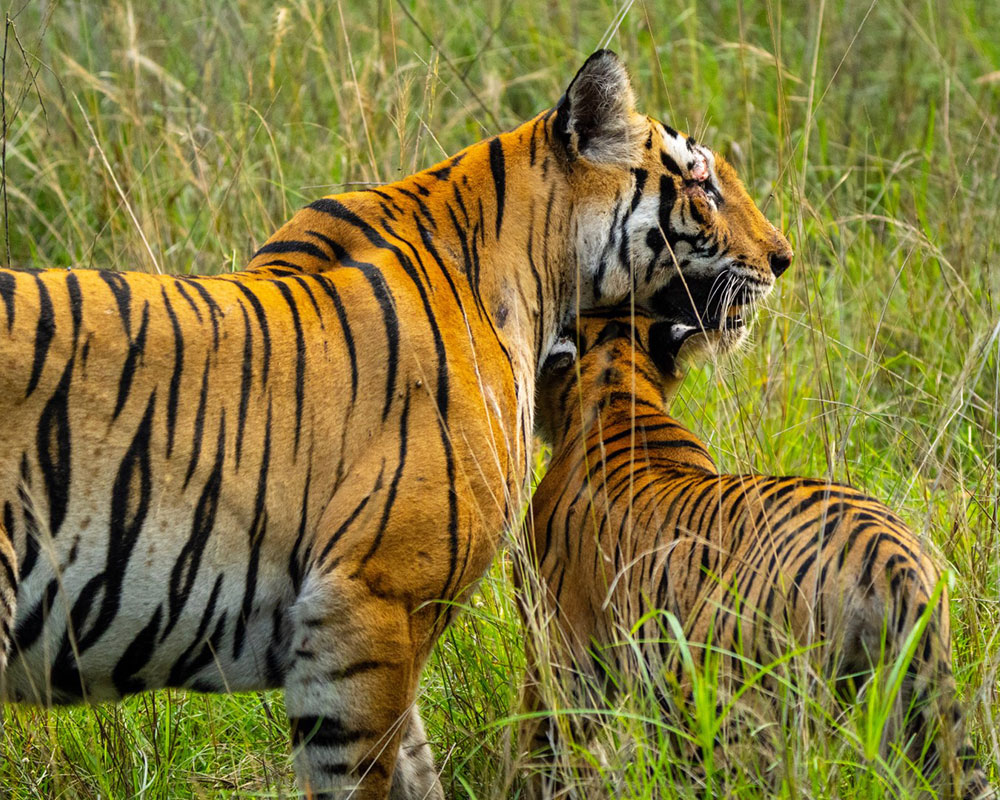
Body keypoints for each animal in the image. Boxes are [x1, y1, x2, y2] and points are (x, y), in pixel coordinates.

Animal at [0, 53, 792, 796]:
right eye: (701, 183)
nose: (784, 257)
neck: (528, 271)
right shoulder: (373, 600)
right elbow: (366, 774)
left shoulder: (374, 626)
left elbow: (415, 763)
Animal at [520, 310, 996, 796]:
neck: (618, 389)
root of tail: (890, 558)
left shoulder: (561, 651)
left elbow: (540, 744)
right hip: (904, 715)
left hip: (719, 700)